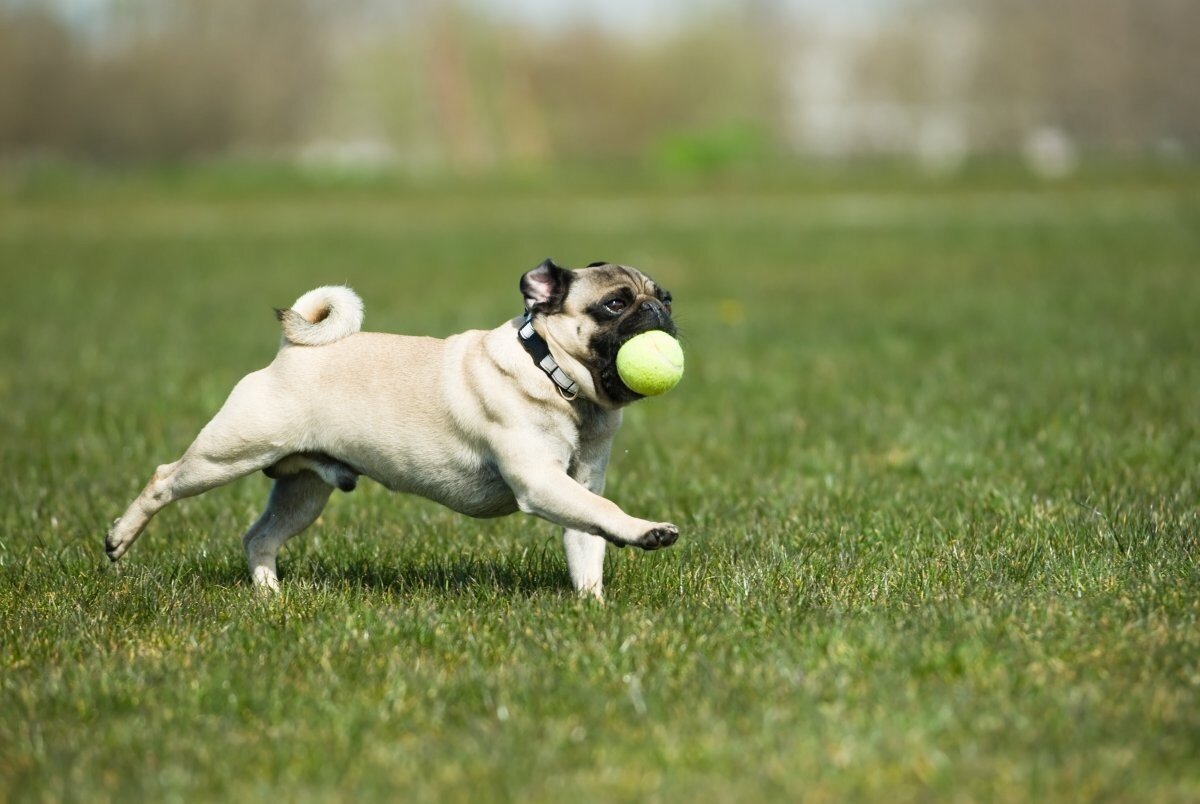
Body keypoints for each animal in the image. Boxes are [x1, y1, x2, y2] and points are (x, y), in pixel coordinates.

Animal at [104, 260, 681, 597]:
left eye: (665, 296)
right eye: (615, 304)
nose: (659, 308)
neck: (554, 374)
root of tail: (291, 351)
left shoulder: (580, 484)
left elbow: (589, 541)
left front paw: (592, 607)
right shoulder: (540, 482)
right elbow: (606, 515)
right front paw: (646, 531)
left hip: (304, 491)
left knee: (259, 537)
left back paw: (270, 597)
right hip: (229, 452)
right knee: (164, 479)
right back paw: (119, 539)